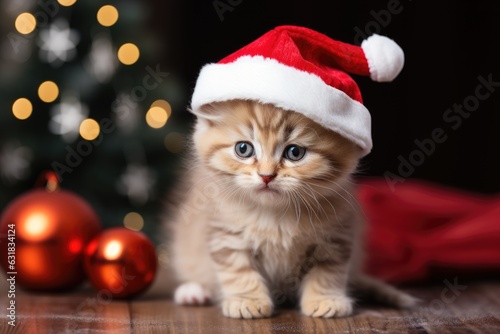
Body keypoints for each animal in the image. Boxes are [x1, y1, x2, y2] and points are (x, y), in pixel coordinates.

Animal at [163, 98, 414, 318]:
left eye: (294, 153)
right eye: (243, 149)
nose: (266, 176)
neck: (276, 216)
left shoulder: (336, 237)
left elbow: (328, 272)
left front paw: (325, 299)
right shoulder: (225, 234)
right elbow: (238, 271)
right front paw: (247, 301)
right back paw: (193, 292)